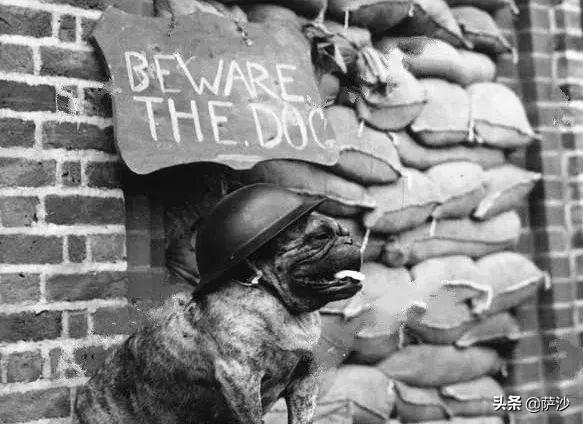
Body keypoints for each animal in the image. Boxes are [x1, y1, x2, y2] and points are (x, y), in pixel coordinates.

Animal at [74, 212, 363, 424]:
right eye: (320, 236)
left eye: (346, 234)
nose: (351, 242)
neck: (278, 300)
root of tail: (83, 397)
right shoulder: (241, 378)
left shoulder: (304, 382)